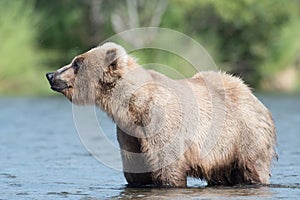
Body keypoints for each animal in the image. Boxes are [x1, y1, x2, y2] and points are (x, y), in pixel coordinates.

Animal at [45, 42, 276, 188]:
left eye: (77, 62)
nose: (50, 74)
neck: (131, 106)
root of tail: (250, 91)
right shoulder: (129, 133)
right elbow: (135, 171)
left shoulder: (161, 122)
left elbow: (167, 166)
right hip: (220, 153)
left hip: (243, 134)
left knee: (252, 167)